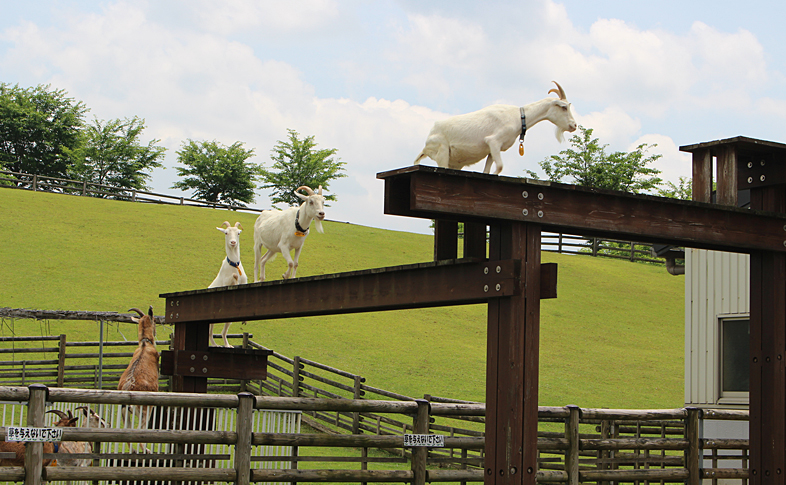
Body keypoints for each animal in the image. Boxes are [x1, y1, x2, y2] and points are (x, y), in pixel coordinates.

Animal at [410, 80, 576, 175]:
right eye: (563, 107)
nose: (574, 125)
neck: (518, 117)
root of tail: (426, 144)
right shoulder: (494, 141)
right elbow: (500, 167)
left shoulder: (492, 150)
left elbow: (488, 170)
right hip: (442, 152)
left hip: (454, 163)